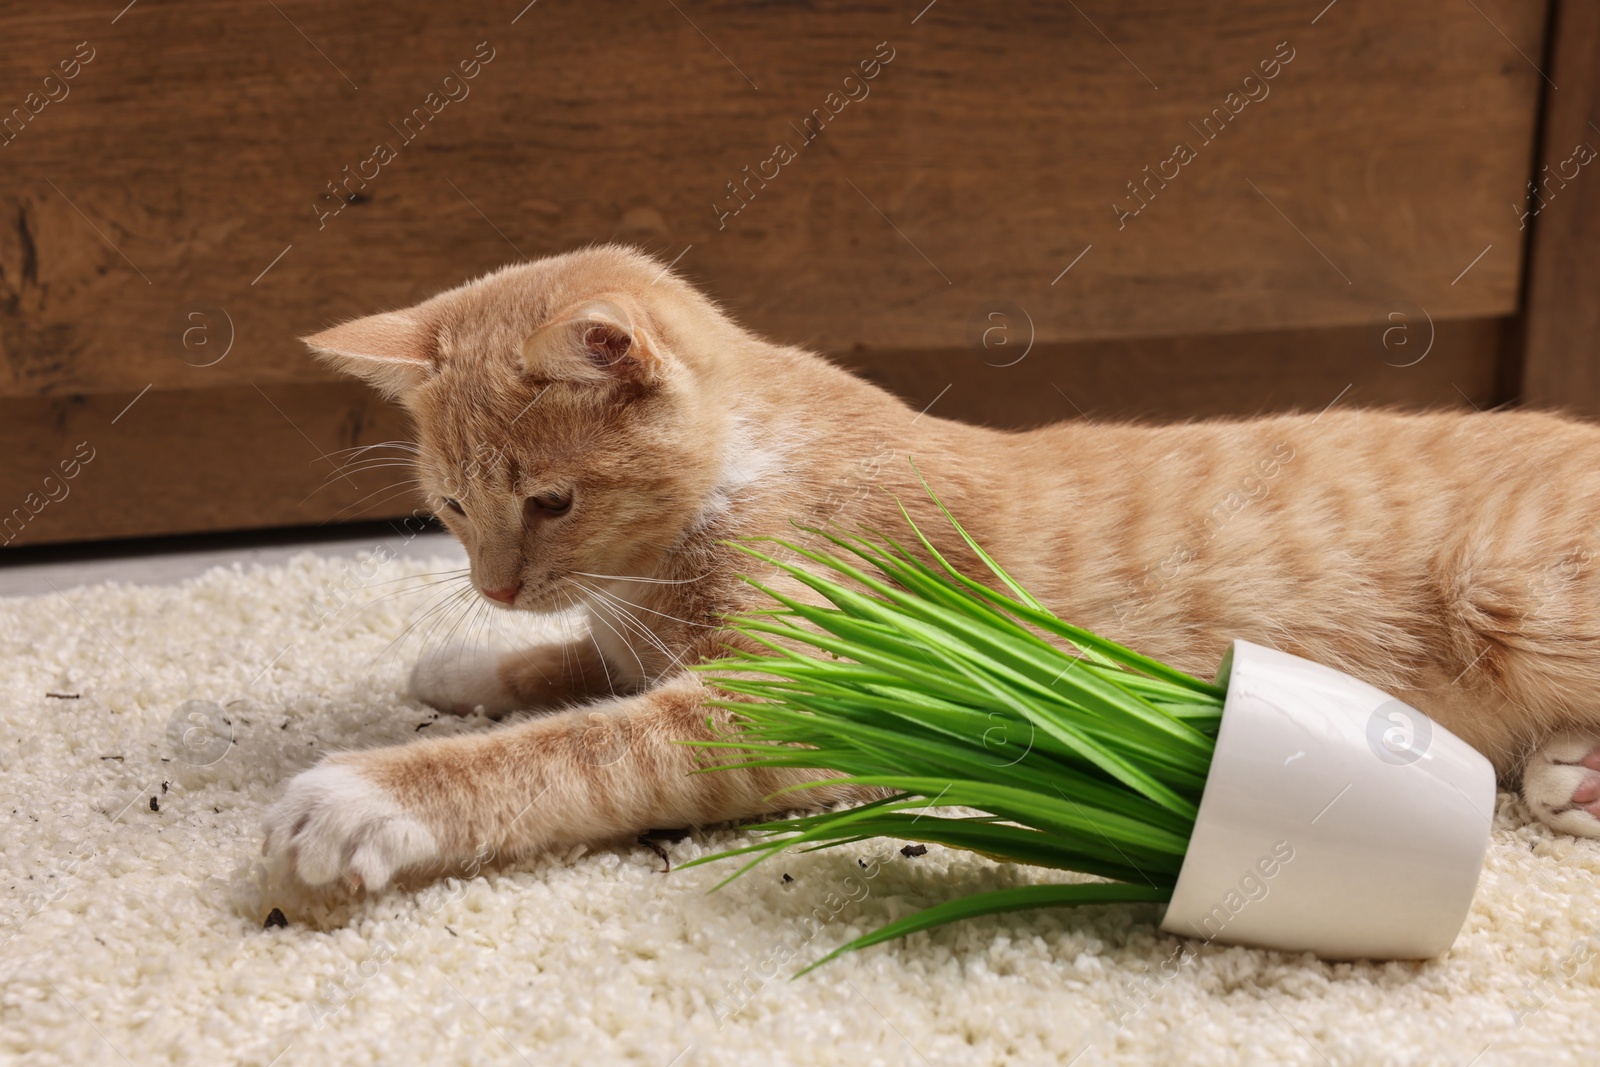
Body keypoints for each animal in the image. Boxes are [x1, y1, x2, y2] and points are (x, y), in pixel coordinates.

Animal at [265, 244, 1600, 895]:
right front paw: (467, 661)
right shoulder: (636, 638)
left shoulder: (787, 701)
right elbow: (573, 664)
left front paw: (364, 794)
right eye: (450, 508)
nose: (493, 583)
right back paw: (1565, 774)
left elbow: (577, 746)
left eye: (549, 501)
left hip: (1518, 591)